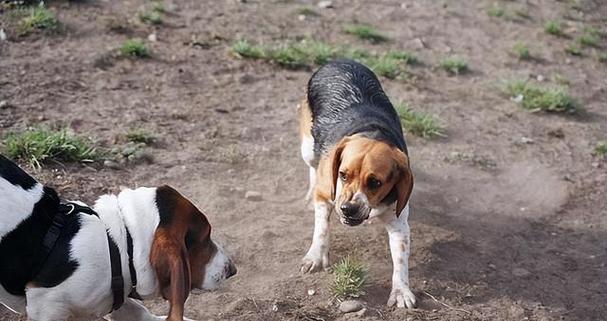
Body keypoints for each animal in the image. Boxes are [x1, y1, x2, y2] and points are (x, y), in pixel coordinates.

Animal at [0, 154, 236, 318]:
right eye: (205, 238)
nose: (232, 270)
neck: (120, 246)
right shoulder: (46, 308)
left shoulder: (114, 296)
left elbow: (137, 312)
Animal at [296, 60, 416, 308]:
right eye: (342, 175)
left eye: (376, 182)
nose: (348, 209)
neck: (372, 132)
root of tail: (339, 60)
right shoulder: (326, 195)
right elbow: (321, 229)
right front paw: (316, 256)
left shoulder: (399, 223)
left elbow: (401, 259)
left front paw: (401, 291)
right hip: (307, 148)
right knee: (312, 168)